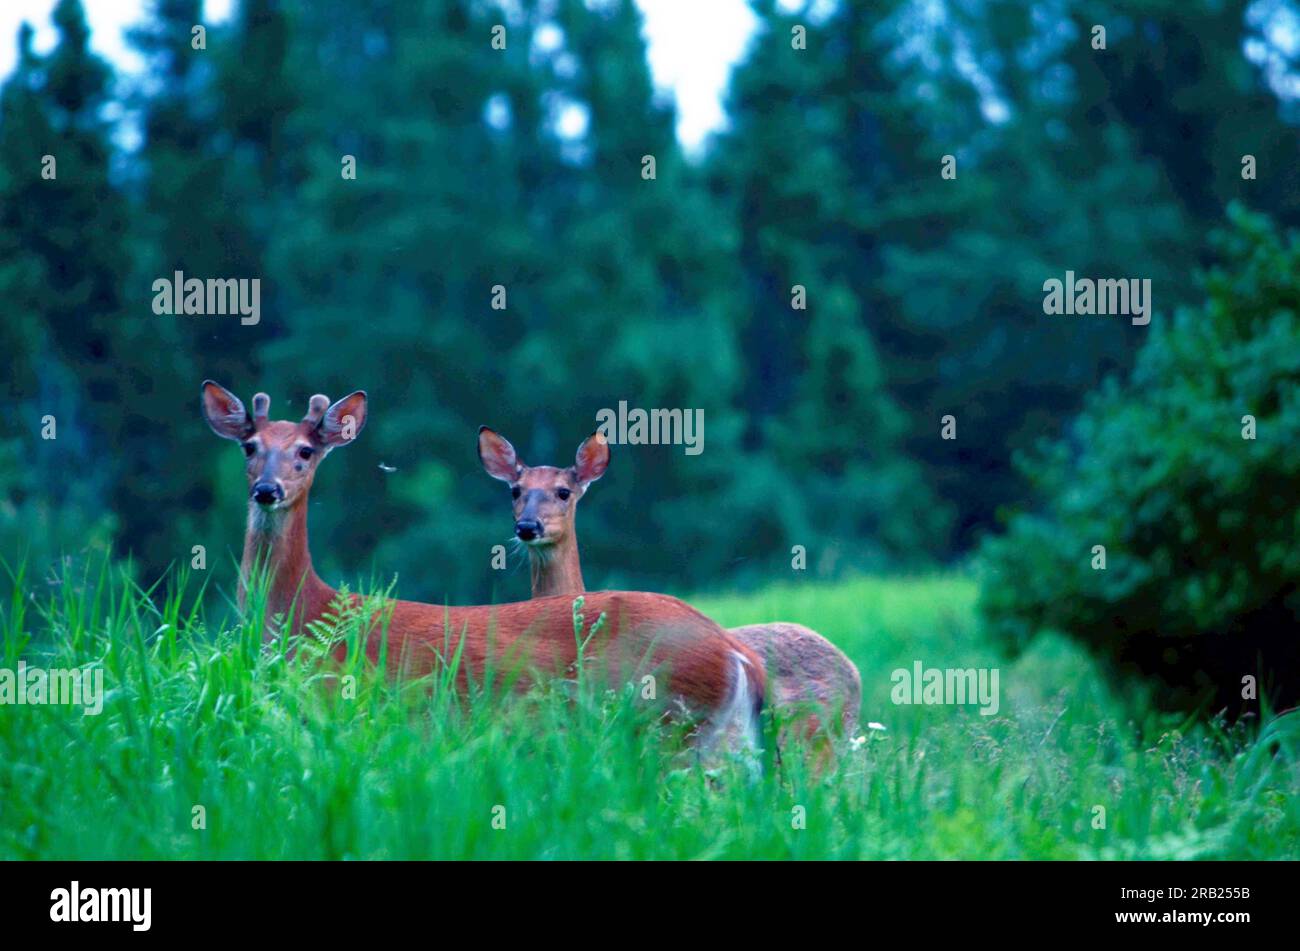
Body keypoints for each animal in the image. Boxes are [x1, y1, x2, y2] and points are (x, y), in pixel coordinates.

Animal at [195, 381, 759, 753]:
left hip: (662, 722)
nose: (266, 490)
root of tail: (734, 651)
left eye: (306, 451)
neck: (306, 613)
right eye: (249, 446)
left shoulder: (344, 705)